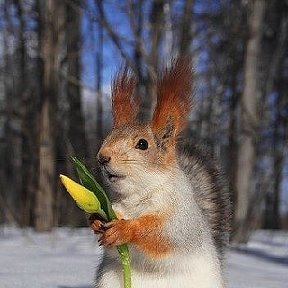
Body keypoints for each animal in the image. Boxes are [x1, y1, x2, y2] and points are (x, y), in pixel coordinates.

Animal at [89, 57, 232, 286]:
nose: (102, 157)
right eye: (106, 137)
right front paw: (95, 219)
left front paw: (126, 229)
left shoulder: (181, 218)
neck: (136, 195)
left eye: (142, 144)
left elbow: (163, 235)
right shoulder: (114, 205)